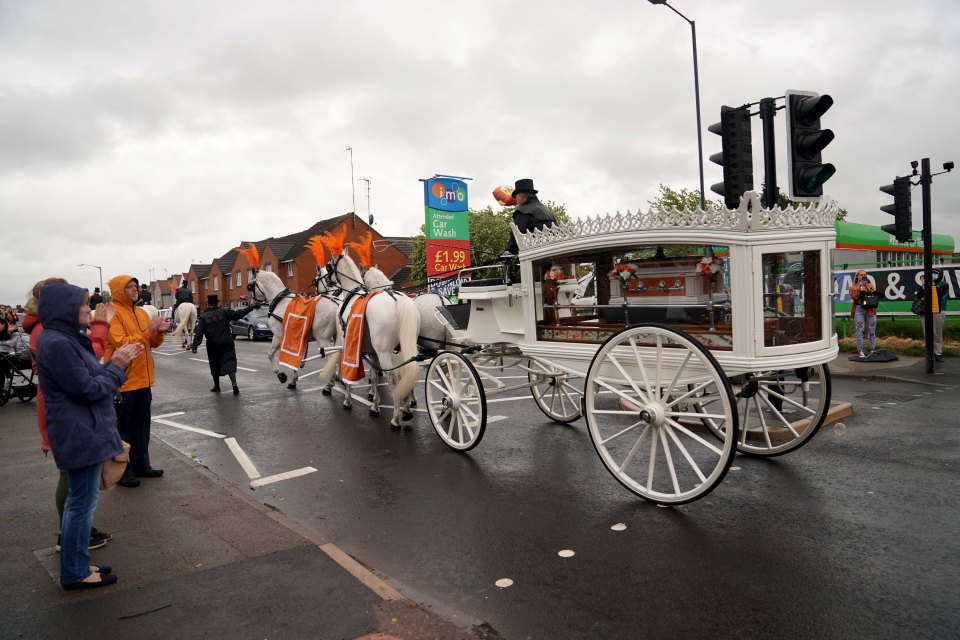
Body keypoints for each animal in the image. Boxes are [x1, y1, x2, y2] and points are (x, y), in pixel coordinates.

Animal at [318, 252, 420, 428]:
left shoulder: (347, 345)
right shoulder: (373, 352)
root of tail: (397, 299)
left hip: (385, 352)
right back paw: (406, 409)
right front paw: (375, 405)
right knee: (408, 371)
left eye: (329, 267)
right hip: (406, 348)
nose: (328, 284)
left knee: (393, 379)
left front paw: (348, 400)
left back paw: (396, 417)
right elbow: (374, 374)